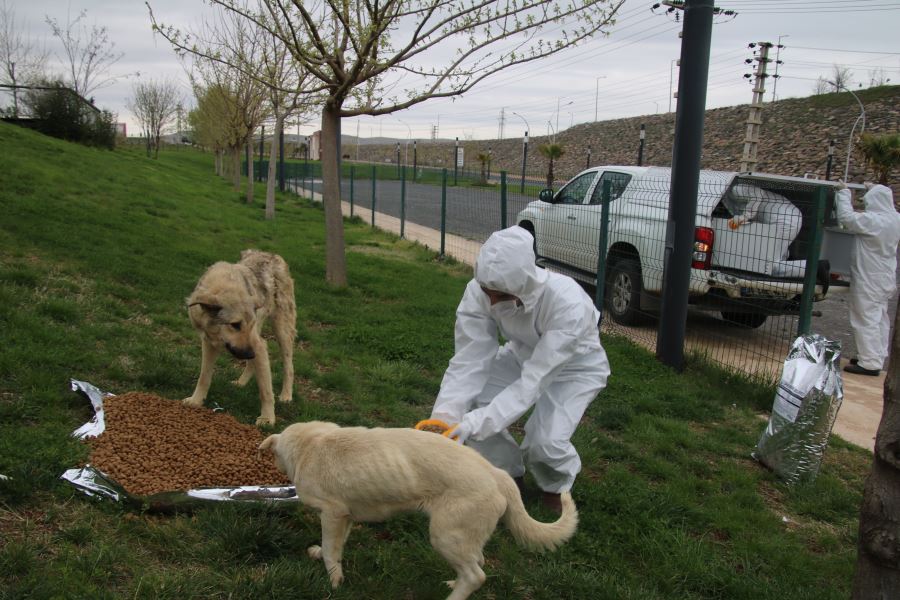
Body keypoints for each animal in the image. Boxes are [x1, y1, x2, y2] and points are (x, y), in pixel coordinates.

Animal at [183, 251, 296, 424]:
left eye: (248, 324)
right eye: (235, 325)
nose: (250, 353)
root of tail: (272, 255)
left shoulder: (257, 343)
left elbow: (266, 391)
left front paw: (267, 418)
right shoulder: (208, 343)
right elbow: (204, 377)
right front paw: (196, 401)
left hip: (281, 331)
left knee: (288, 366)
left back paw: (286, 395)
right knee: (253, 364)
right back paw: (241, 382)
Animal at [258, 422, 576, 600]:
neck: (311, 444)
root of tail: (497, 474)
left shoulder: (333, 513)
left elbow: (331, 550)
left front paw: (334, 580)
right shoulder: (345, 516)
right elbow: (332, 547)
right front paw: (319, 556)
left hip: (445, 535)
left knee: (477, 576)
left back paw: (453, 597)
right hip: (463, 537)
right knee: (477, 562)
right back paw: (453, 582)